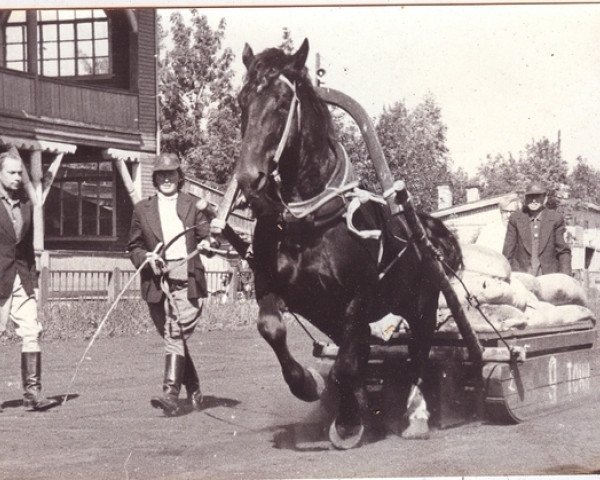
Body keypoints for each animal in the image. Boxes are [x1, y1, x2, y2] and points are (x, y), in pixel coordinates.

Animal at [237, 39, 462, 448]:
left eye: (282, 101)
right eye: (242, 100)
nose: (249, 178)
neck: (308, 224)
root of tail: (427, 226)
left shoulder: (357, 298)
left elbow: (345, 364)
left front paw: (345, 423)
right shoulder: (272, 287)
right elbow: (273, 329)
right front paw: (309, 385)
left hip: (422, 304)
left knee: (418, 354)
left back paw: (414, 415)